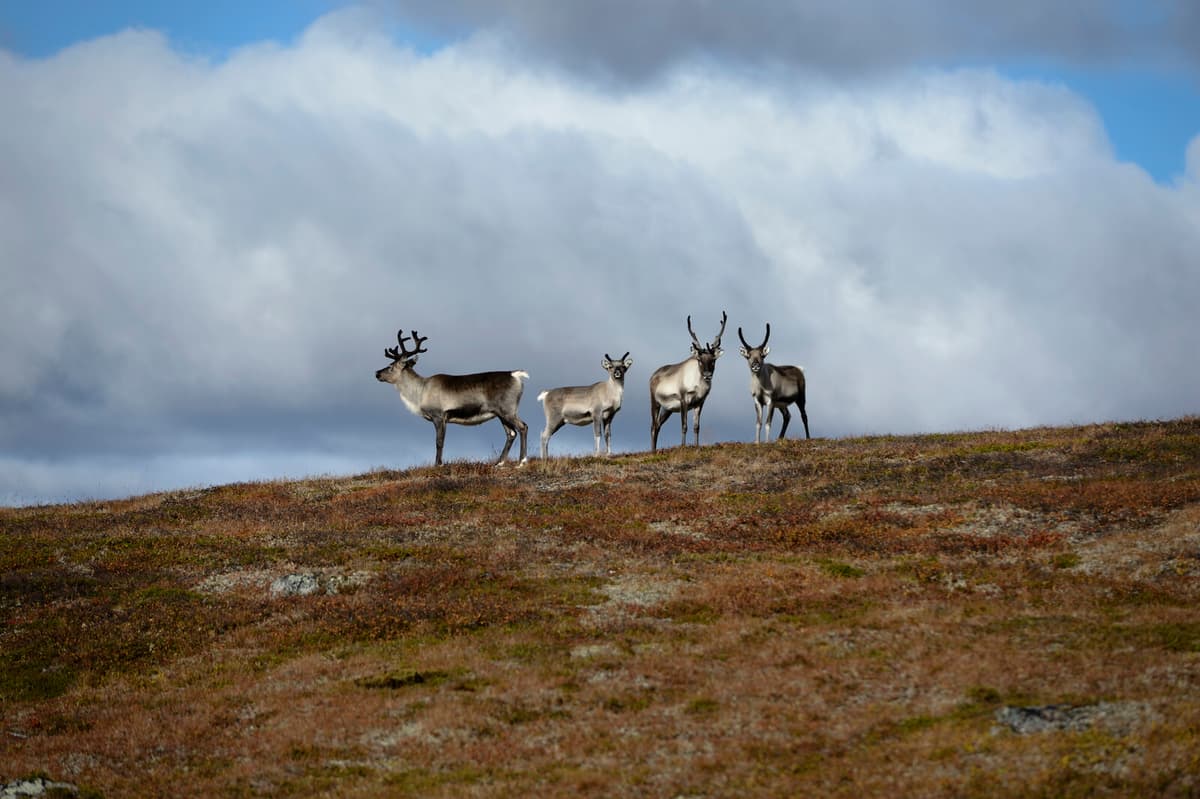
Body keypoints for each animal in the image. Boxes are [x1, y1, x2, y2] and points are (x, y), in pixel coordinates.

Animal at [374, 329, 529, 466]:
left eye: (391, 366)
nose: (377, 373)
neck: (419, 392)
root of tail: (515, 375)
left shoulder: (439, 416)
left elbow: (439, 441)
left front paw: (438, 464)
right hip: (500, 413)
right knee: (511, 433)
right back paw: (499, 463)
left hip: (507, 410)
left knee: (522, 427)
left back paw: (521, 461)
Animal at [649, 311, 727, 452]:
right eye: (700, 360)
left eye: (713, 360)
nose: (707, 375)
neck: (699, 386)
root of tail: (652, 375)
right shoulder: (683, 399)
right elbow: (684, 425)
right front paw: (683, 446)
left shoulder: (699, 403)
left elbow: (696, 426)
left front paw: (696, 446)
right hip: (655, 402)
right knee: (653, 426)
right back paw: (652, 452)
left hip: (667, 409)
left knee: (658, 425)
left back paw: (656, 450)